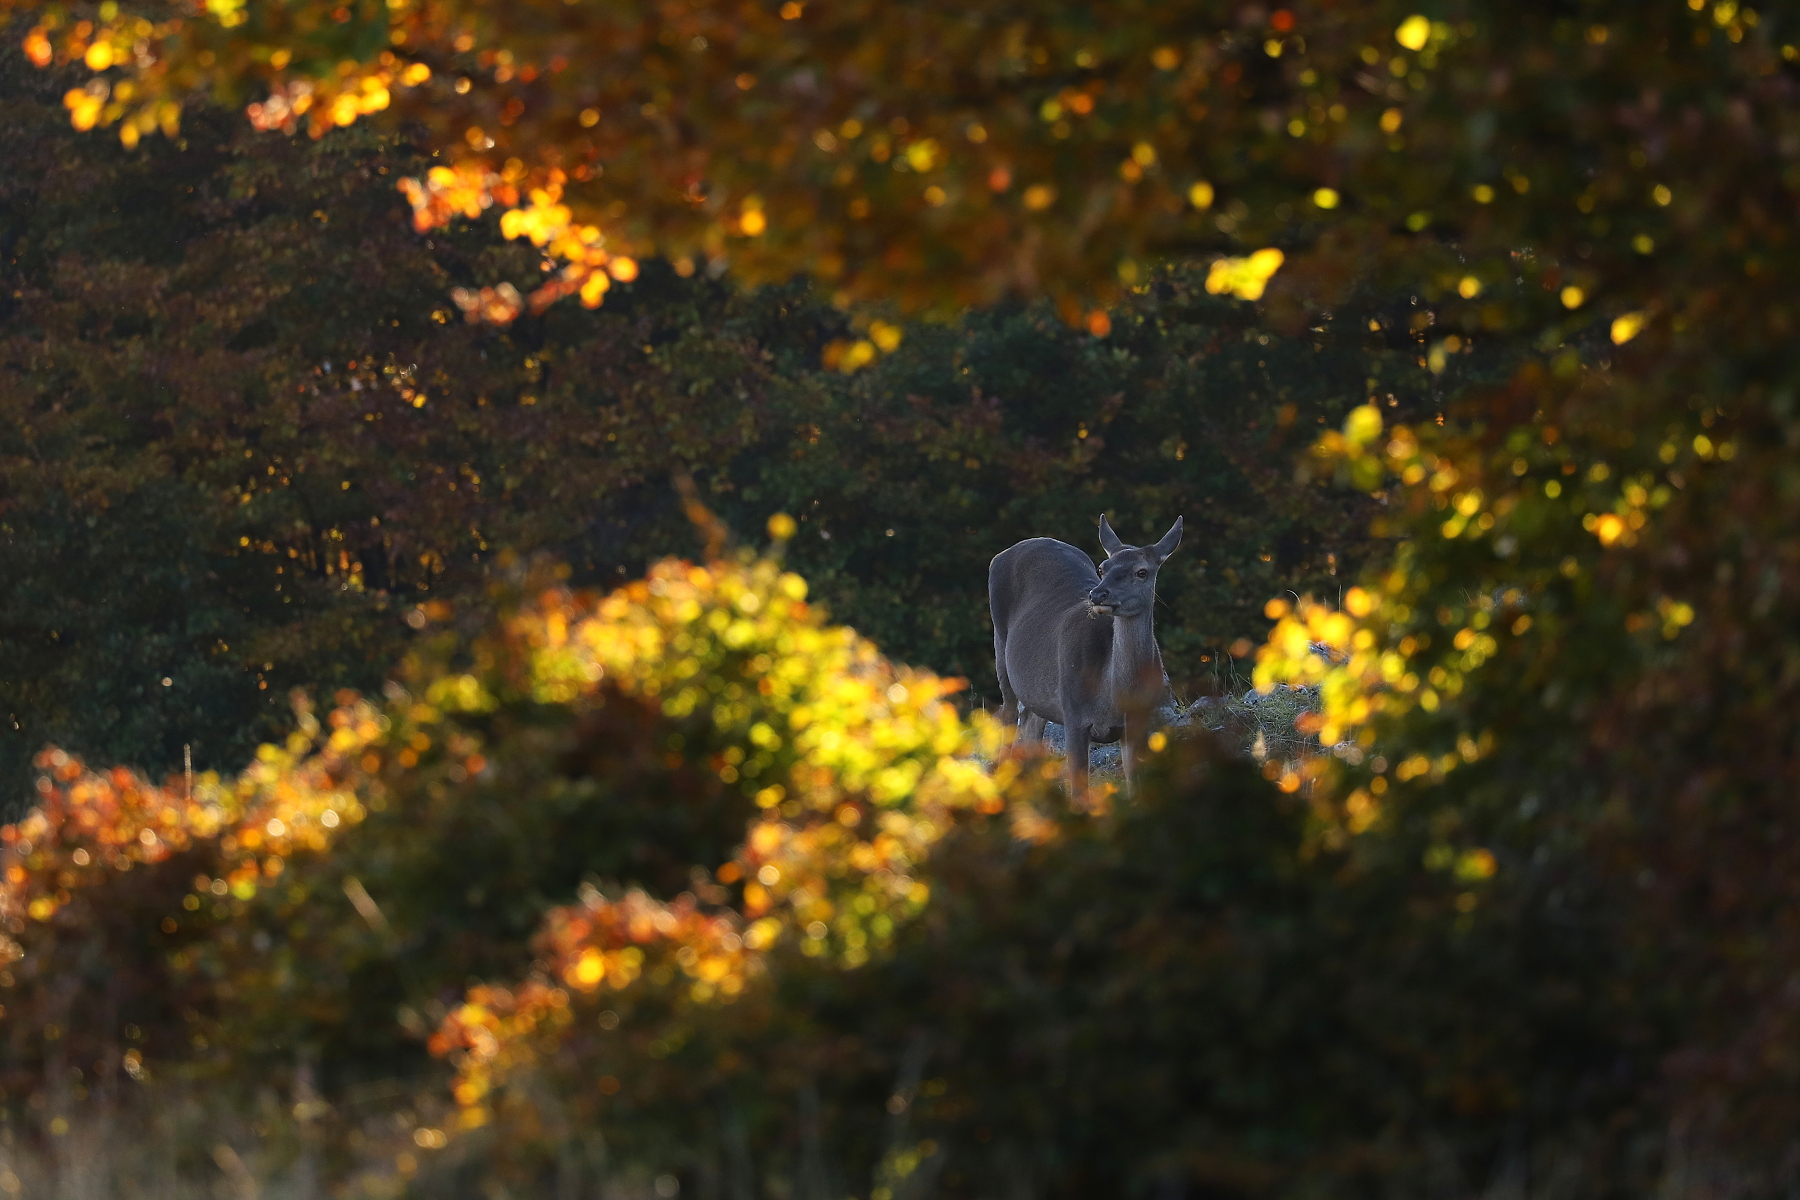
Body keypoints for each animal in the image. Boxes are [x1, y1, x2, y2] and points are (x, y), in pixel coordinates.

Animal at [986, 510, 1180, 791]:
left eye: (1142, 572)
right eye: (1102, 568)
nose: (1098, 594)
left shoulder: (1140, 723)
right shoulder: (1074, 714)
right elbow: (1080, 791)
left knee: (1031, 726)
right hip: (1001, 650)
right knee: (1008, 718)